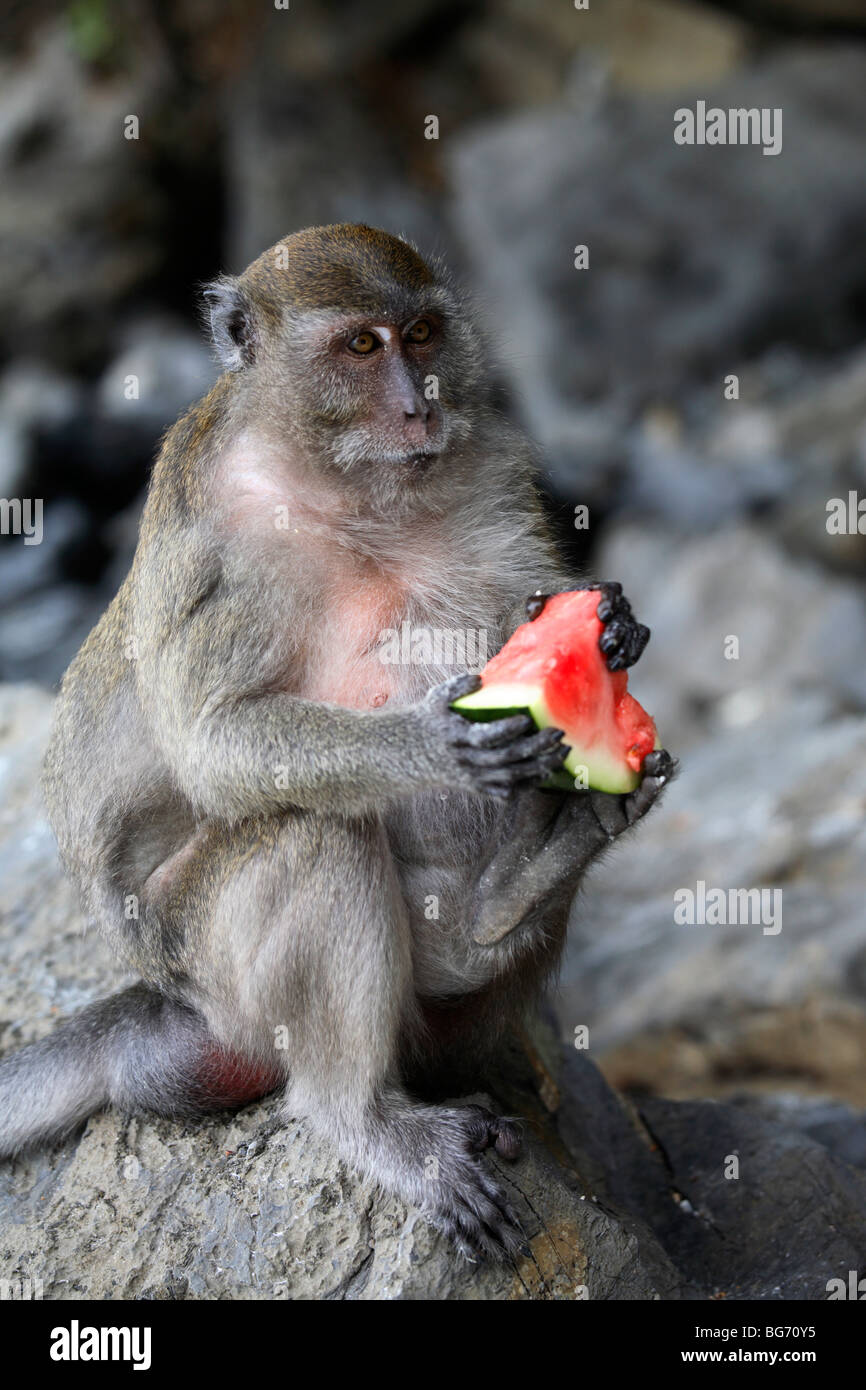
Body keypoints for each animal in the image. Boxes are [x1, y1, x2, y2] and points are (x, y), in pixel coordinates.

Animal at [0, 225, 675, 1262]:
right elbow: (212, 740)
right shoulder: (216, 532)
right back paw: (363, 1118)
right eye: (362, 347)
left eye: (424, 334)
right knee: (310, 836)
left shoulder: (484, 461)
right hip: (212, 965)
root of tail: (177, 1005)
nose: (417, 402)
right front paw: (430, 743)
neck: (343, 482)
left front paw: (608, 626)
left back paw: (518, 890)